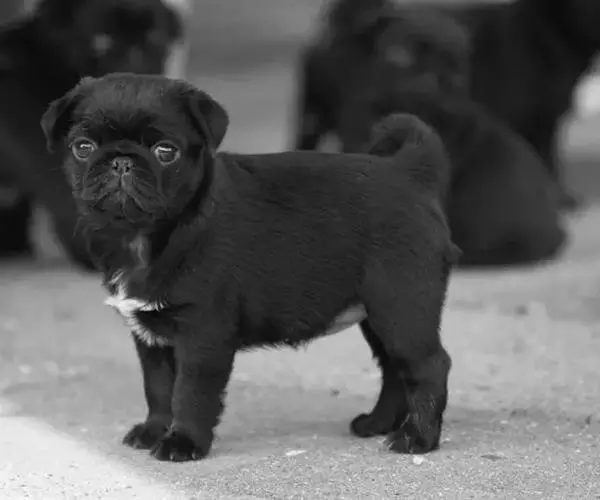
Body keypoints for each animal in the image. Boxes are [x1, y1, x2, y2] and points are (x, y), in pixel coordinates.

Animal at [41, 73, 457, 461]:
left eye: (165, 151)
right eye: (83, 147)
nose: (121, 161)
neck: (144, 237)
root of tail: (409, 172)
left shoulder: (202, 334)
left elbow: (190, 392)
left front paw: (183, 441)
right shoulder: (151, 337)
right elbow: (158, 387)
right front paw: (154, 430)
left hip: (401, 306)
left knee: (428, 366)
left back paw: (417, 439)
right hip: (377, 315)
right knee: (394, 368)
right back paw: (377, 424)